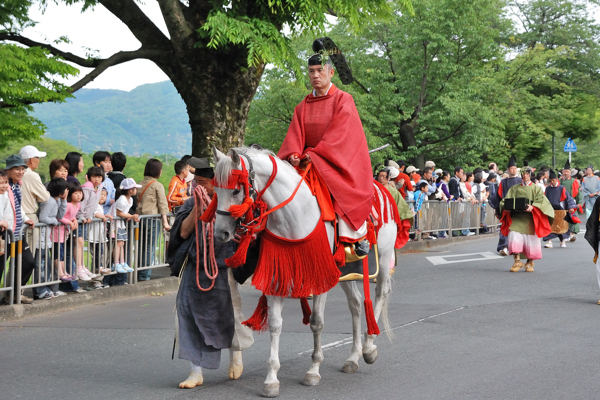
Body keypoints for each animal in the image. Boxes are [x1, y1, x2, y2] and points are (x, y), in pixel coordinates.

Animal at [212, 146, 398, 396]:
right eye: (215, 190)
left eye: (235, 190)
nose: (220, 233)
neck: (294, 216)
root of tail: (382, 189)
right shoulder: (277, 277)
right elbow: (275, 324)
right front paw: (271, 380)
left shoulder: (320, 277)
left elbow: (316, 322)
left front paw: (313, 371)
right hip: (346, 271)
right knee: (356, 304)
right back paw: (353, 358)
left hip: (384, 256)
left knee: (380, 294)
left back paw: (369, 347)